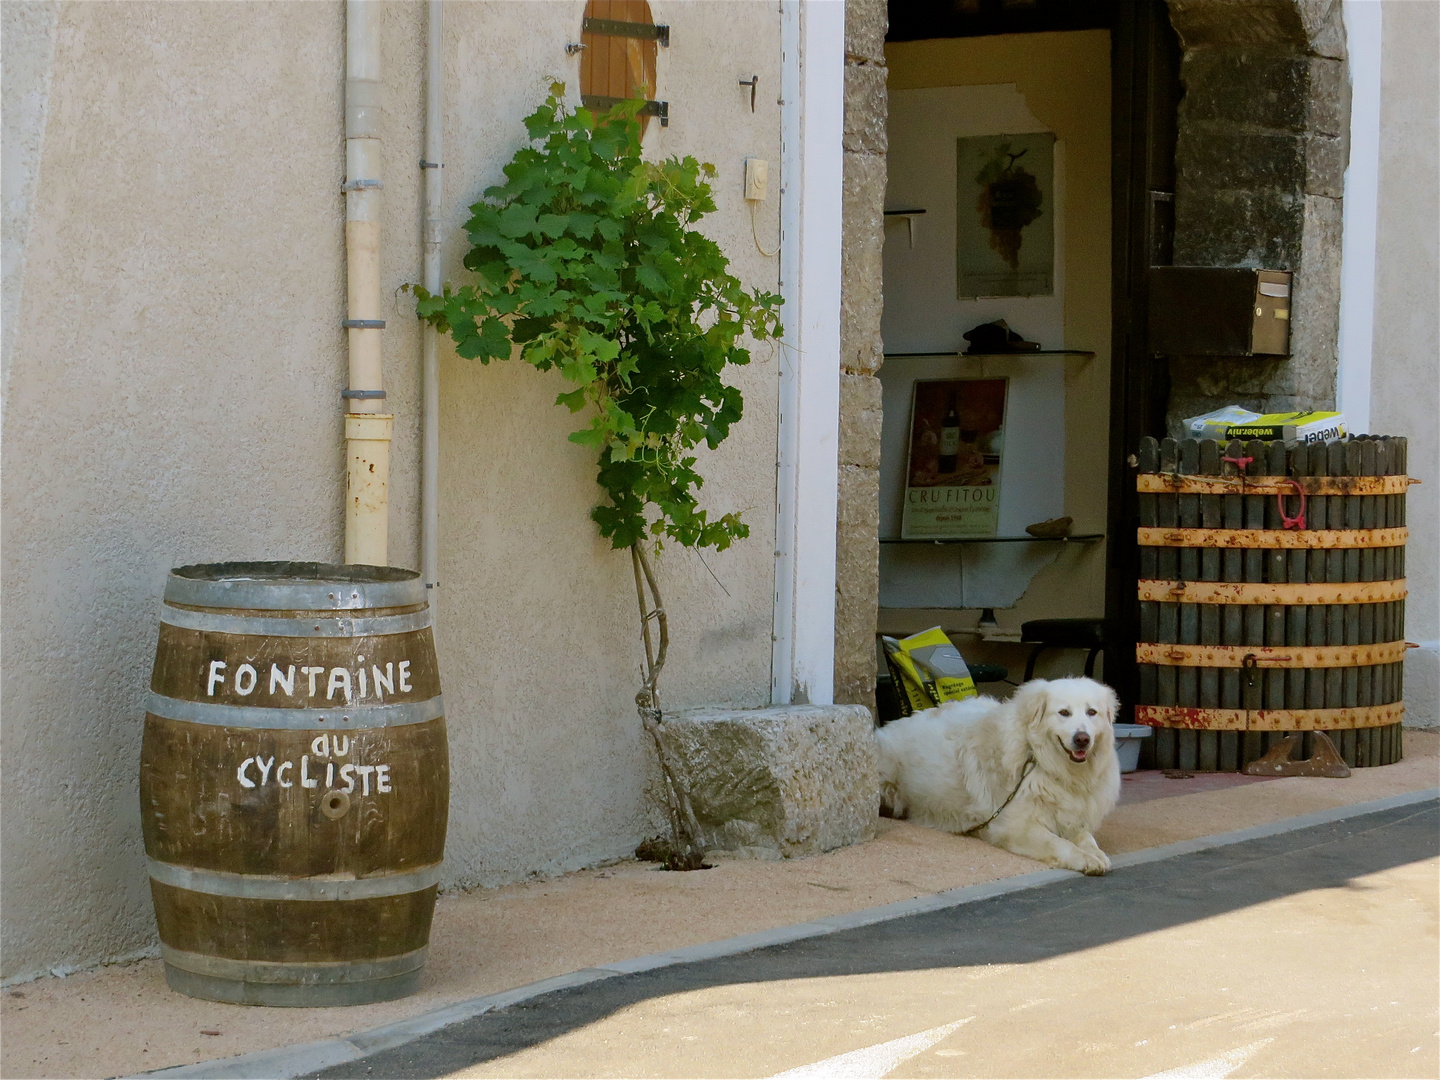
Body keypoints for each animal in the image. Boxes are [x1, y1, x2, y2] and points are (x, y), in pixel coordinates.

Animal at [875, 679, 1123, 875]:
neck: (1040, 760)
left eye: (1092, 712)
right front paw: (1083, 858)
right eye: (1064, 713)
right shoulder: (1015, 826)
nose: (1082, 739)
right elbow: (1057, 843)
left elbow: (1086, 838)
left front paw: (1095, 853)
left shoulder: (1072, 818)